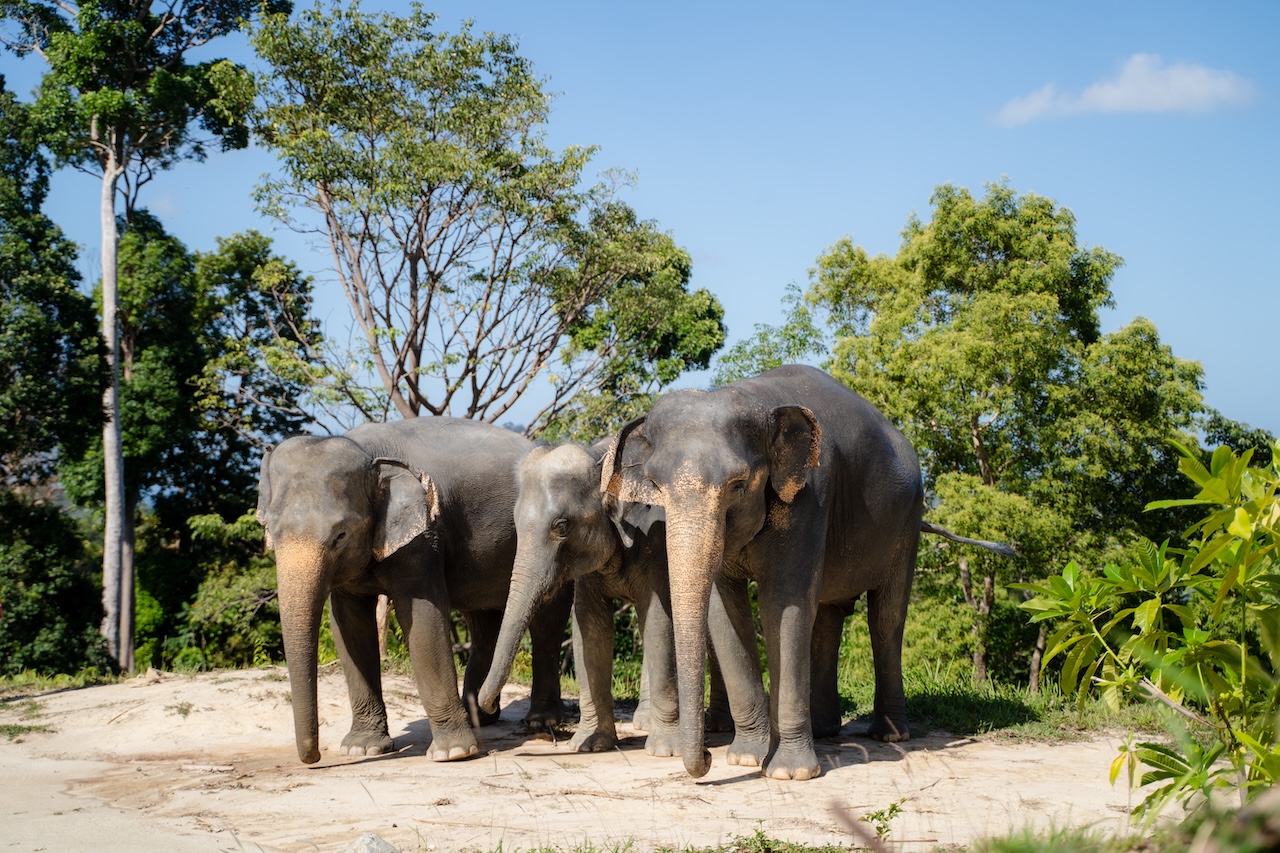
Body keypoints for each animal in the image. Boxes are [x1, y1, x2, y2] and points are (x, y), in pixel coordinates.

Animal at [255, 417, 571, 765]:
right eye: (268, 529)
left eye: (340, 535)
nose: (313, 758)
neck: (367, 453)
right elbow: (350, 627)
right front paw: (362, 747)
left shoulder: (425, 537)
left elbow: (422, 619)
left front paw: (454, 753)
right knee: (483, 621)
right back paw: (480, 717)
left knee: (547, 621)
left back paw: (540, 721)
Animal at [600, 364, 965, 780]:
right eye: (655, 485)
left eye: (738, 484)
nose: (706, 756)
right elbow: (725, 612)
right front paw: (747, 758)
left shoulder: (810, 494)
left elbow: (783, 602)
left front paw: (789, 772)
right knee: (828, 613)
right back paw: (824, 730)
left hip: (908, 519)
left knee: (886, 618)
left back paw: (889, 735)